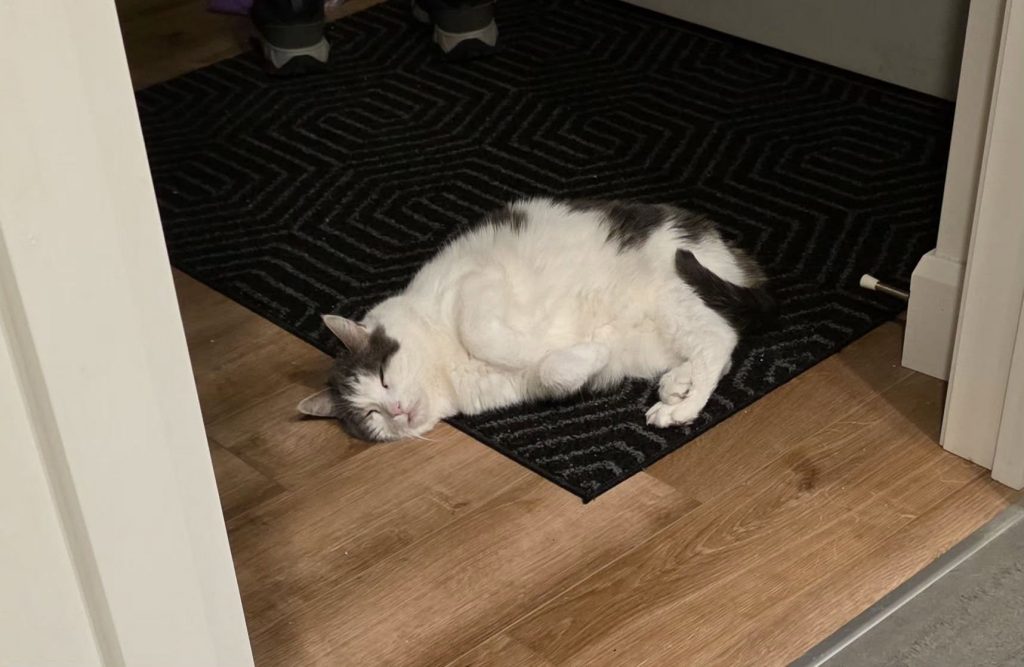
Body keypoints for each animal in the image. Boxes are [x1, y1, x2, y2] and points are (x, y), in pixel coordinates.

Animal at [297, 197, 775, 441]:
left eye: (382, 376)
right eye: (370, 416)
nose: (395, 410)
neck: (446, 371)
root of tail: (731, 253)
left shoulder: (477, 283)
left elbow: (486, 335)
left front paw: (553, 345)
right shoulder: (525, 387)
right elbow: (553, 372)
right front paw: (590, 355)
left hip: (673, 296)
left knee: (718, 341)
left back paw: (680, 409)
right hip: (655, 340)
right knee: (721, 346)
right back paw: (677, 383)